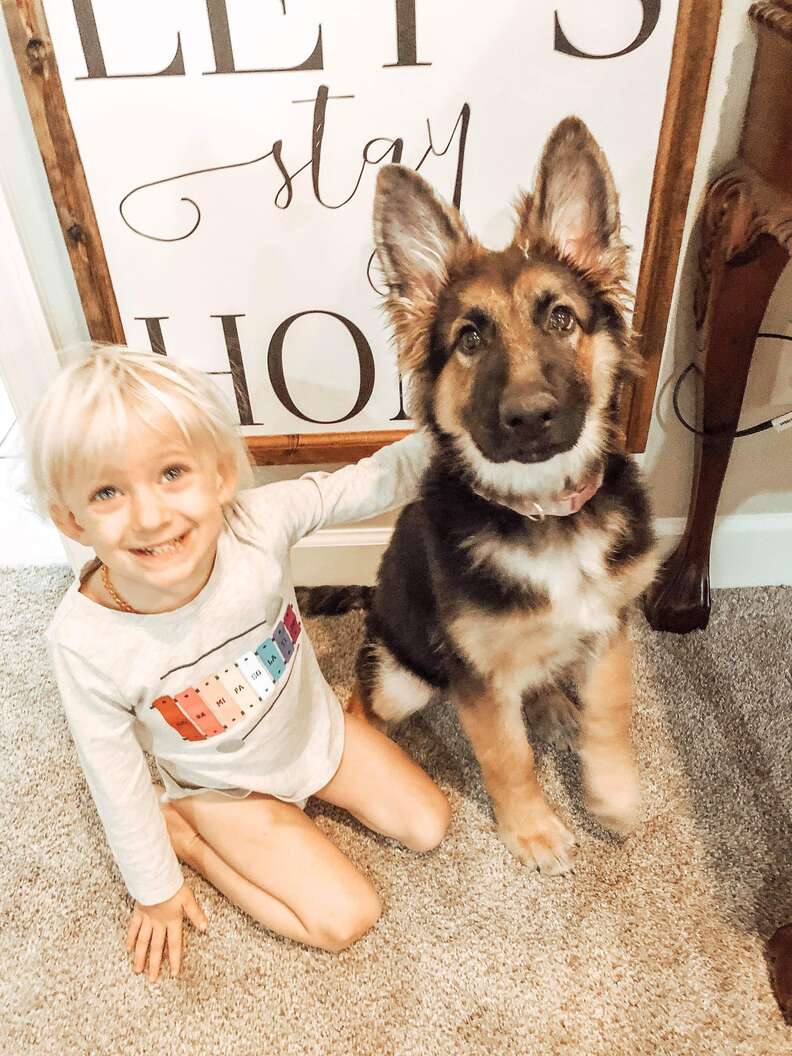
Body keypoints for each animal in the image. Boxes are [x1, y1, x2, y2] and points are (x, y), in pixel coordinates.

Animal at [354, 117, 663, 874]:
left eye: (561, 319)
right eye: (469, 338)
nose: (529, 417)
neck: (542, 513)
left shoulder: (609, 624)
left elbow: (612, 710)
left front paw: (612, 791)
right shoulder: (474, 672)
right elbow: (506, 755)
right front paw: (531, 829)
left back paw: (553, 703)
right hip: (399, 675)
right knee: (368, 704)